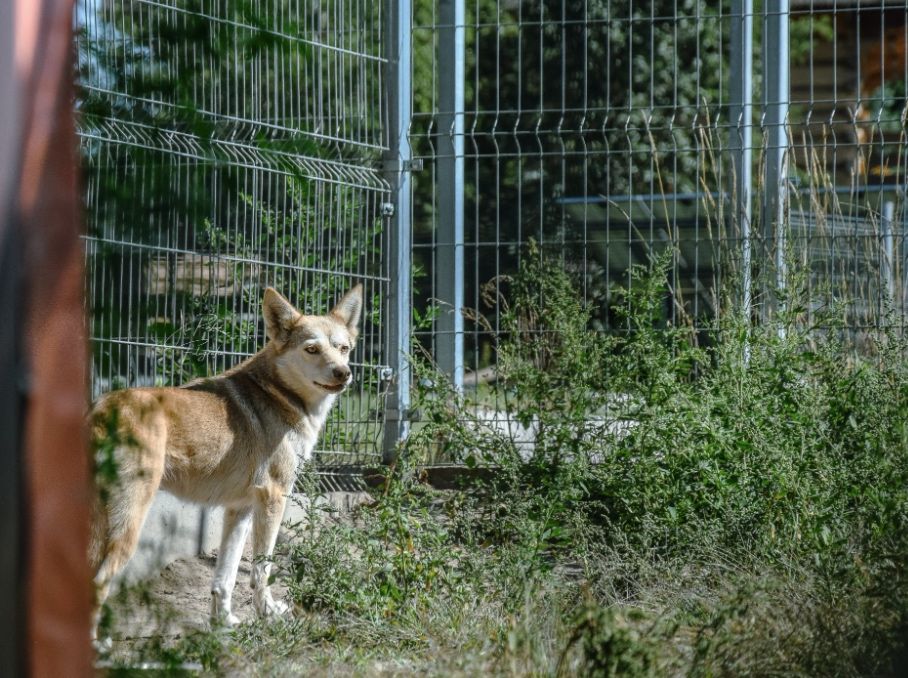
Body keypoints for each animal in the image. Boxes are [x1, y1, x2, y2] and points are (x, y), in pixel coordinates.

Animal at [88, 286, 362, 636]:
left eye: (343, 348)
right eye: (312, 349)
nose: (344, 373)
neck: (280, 395)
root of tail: (99, 408)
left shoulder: (240, 508)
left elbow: (225, 578)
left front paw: (224, 623)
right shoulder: (273, 499)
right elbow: (261, 570)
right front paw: (268, 614)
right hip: (126, 528)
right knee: (97, 584)